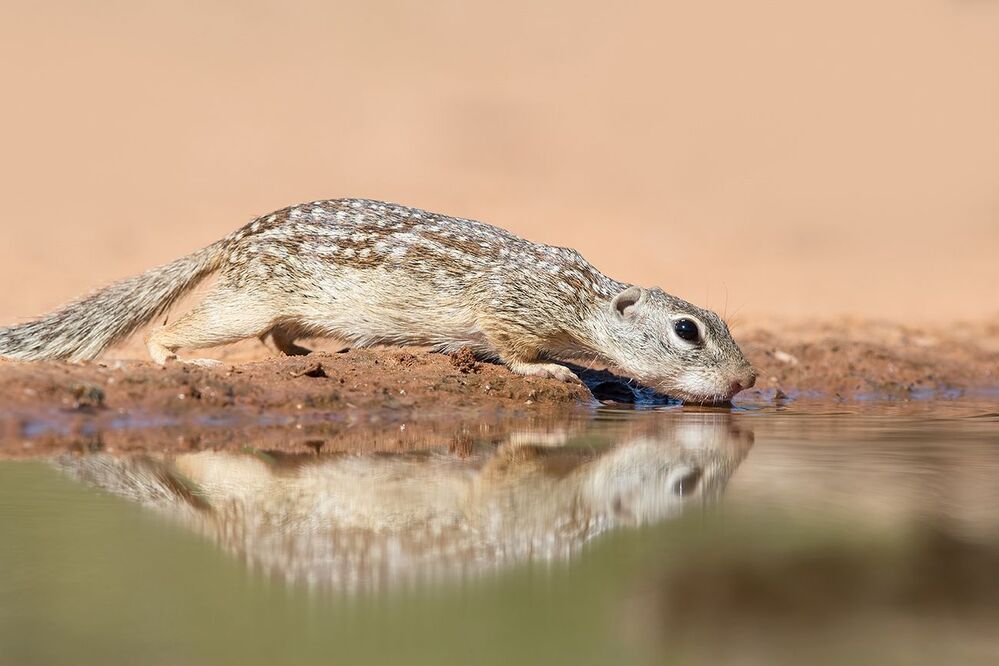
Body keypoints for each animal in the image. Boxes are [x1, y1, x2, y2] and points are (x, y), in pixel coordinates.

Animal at [0, 198, 756, 402]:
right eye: (687, 330)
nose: (749, 378)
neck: (580, 300)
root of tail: (230, 240)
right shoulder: (511, 311)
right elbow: (512, 351)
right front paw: (552, 369)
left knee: (277, 336)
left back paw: (305, 352)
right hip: (247, 301)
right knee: (182, 329)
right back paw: (176, 360)